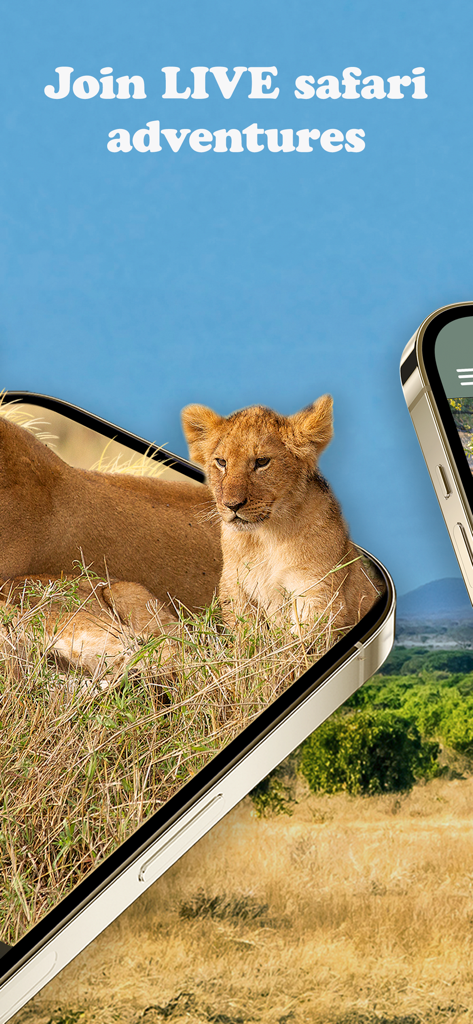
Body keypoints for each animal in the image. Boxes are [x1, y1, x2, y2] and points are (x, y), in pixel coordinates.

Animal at [182, 396, 378, 631]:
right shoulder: (234, 584)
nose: (231, 505)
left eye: (262, 462)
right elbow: (244, 630)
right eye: (221, 462)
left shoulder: (317, 590)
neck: (267, 536)